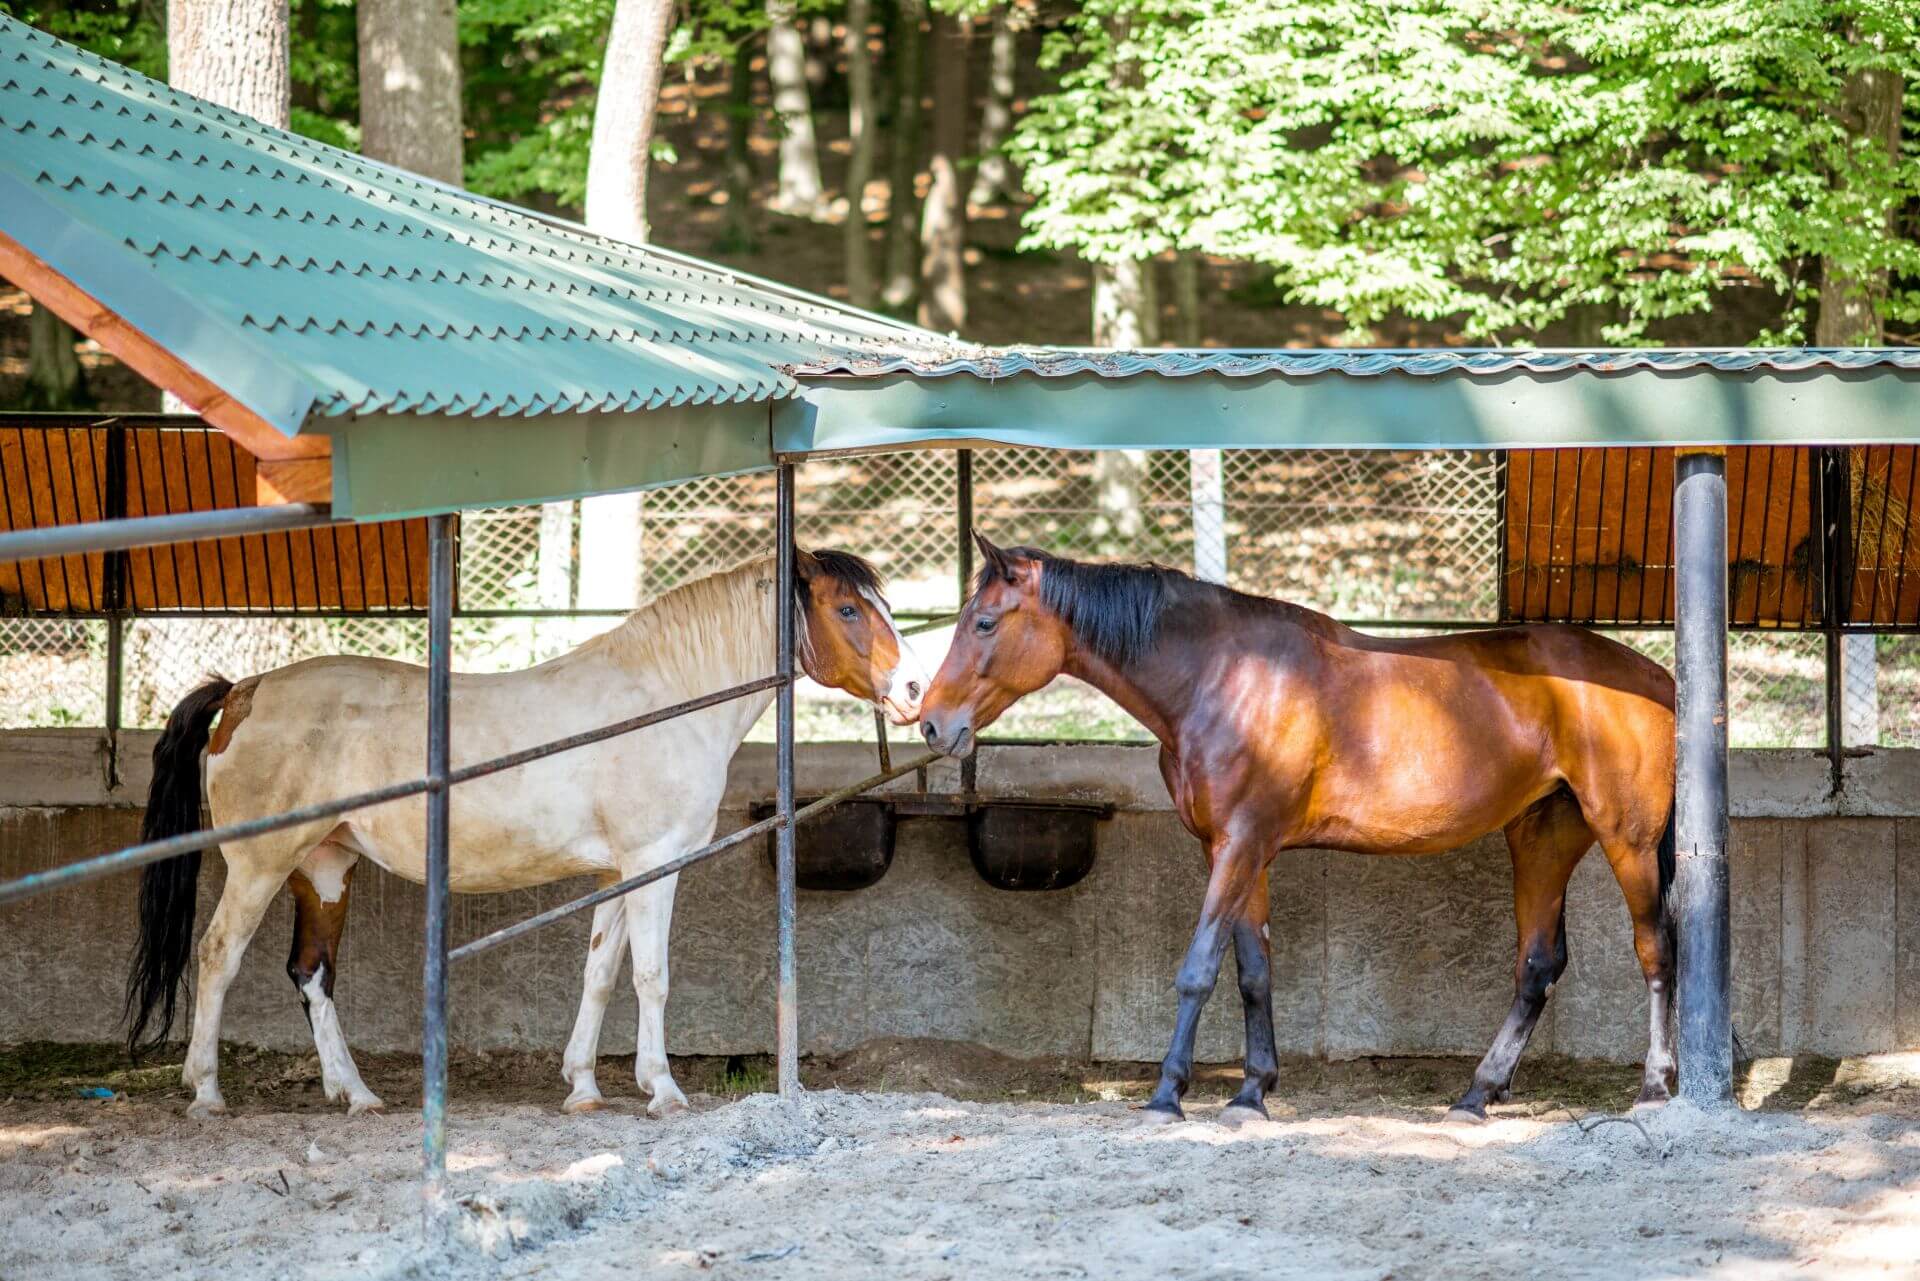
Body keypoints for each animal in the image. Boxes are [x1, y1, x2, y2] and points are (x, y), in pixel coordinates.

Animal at [125, 553, 921, 1121]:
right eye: (847, 607)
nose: (915, 690)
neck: (664, 700)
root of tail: (242, 692)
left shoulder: (617, 873)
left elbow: (600, 973)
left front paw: (583, 1087)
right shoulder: (654, 864)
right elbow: (651, 976)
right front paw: (662, 1089)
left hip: (324, 866)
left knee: (313, 974)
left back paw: (356, 1094)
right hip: (258, 867)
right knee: (218, 957)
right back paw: (207, 1093)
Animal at [921, 537, 1674, 1129]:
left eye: (983, 622)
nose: (931, 723)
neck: (1224, 678)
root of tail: (1660, 678)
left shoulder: (1240, 844)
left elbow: (1198, 969)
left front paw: (1168, 1094)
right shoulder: (1237, 851)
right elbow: (1253, 971)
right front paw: (1251, 1093)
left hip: (1626, 839)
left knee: (1654, 948)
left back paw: (1654, 1087)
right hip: (1543, 837)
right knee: (1538, 964)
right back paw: (1476, 1094)